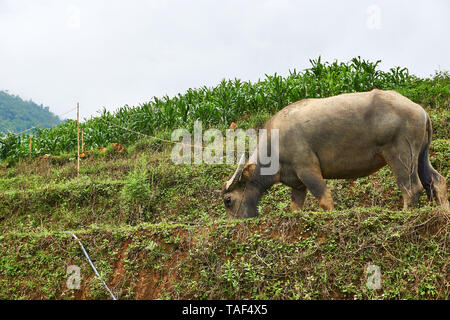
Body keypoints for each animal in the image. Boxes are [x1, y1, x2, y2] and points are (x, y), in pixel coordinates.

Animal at [223, 89, 448, 218]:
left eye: (228, 201)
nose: (236, 225)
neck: (274, 146)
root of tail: (419, 109)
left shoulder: (308, 169)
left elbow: (324, 198)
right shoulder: (297, 184)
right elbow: (295, 208)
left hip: (400, 154)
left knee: (411, 187)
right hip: (421, 155)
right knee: (435, 180)